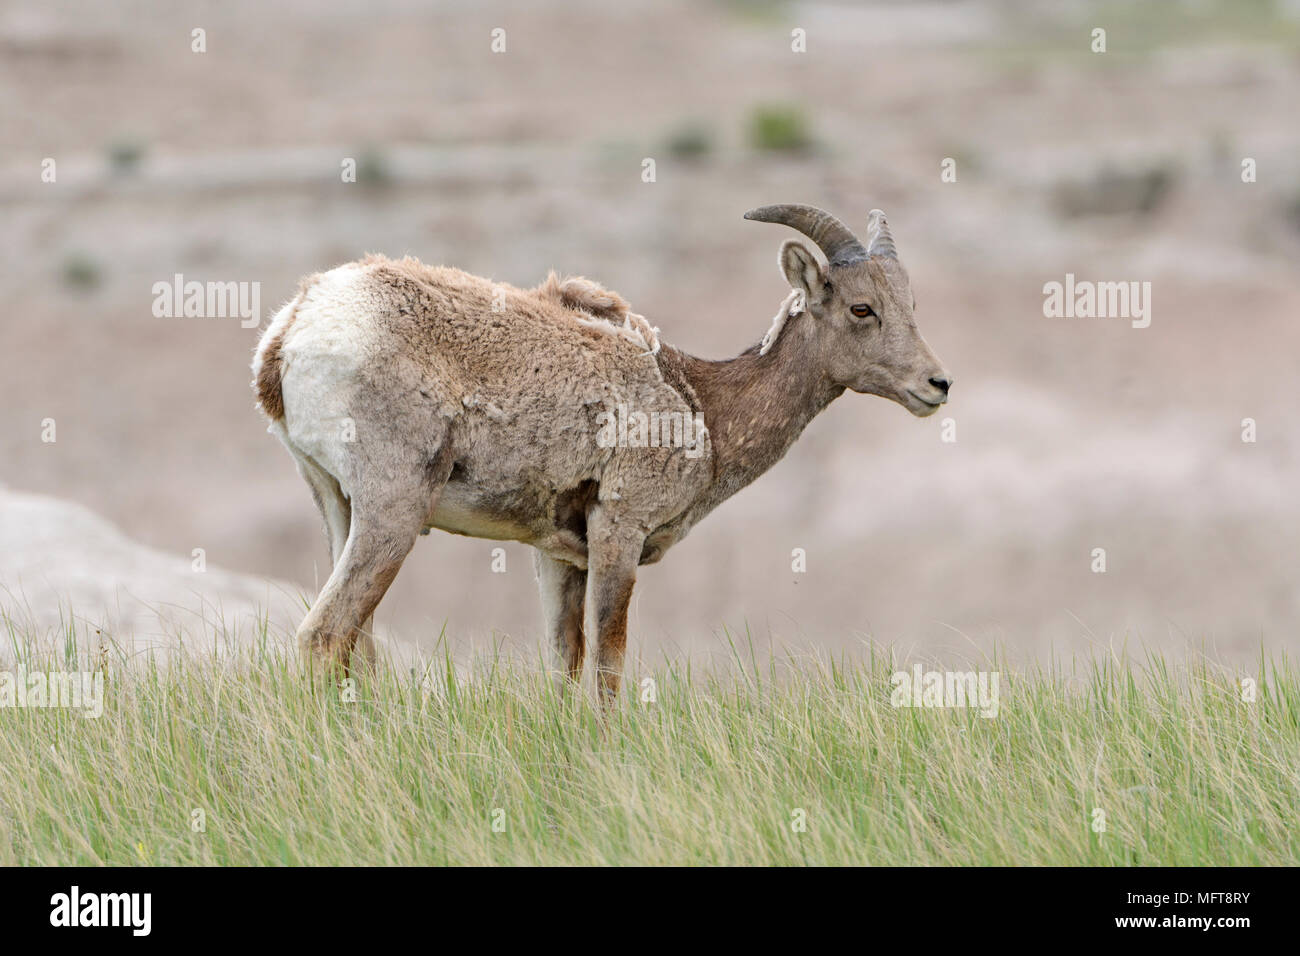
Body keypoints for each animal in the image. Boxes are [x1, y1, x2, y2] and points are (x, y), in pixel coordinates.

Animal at [253, 205, 951, 697]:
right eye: (862, 308)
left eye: (911, 304)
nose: (936, 385)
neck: (700, 405)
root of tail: (296, 325)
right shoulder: (619, 532)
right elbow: (608, 668)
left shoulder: (559, 556)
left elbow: (566, 665)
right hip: (392, 513)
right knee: (324, 637)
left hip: (338, 507)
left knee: (357, 647)